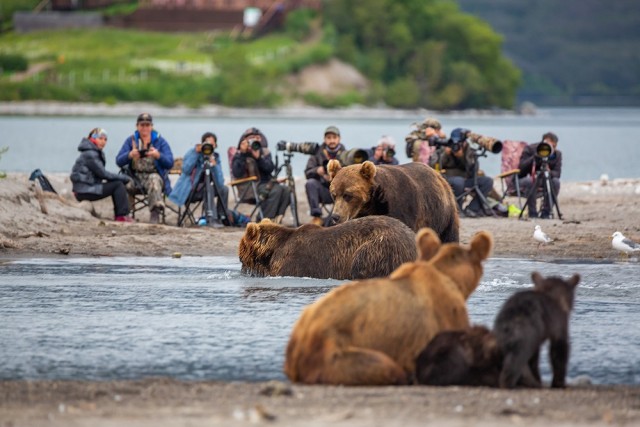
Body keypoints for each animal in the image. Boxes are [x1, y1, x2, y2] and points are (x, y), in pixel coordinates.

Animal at [328, 160, 458, 242]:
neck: (372, 204)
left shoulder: (402, 206)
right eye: (334, 195)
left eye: (347, 195)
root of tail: (439, 176)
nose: (335, 216)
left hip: (442, 216)